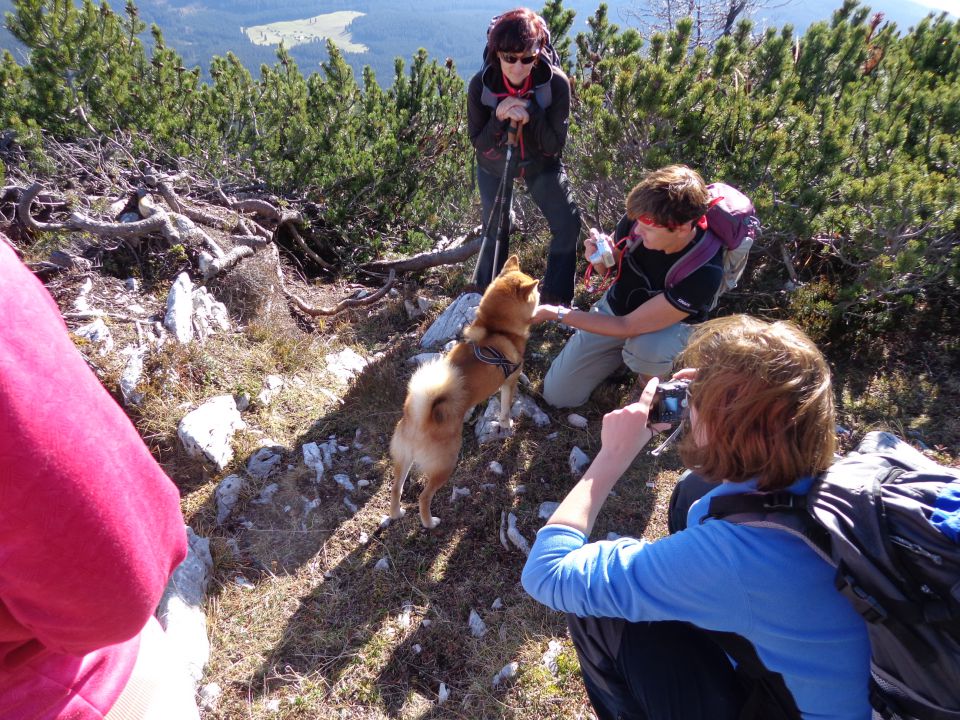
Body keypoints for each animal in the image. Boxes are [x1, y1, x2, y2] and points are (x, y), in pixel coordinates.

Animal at [390, 255, 540, 528]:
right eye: (536, 291)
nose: (543, 293)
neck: (496, 330)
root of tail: (419, 419)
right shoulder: (509, 382)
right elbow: (505, 408)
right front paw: (507, 424)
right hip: (446, 464)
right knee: (423, 497)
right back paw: (430, 522)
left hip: (403, 459)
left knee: (396, 489)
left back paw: (397, 514)